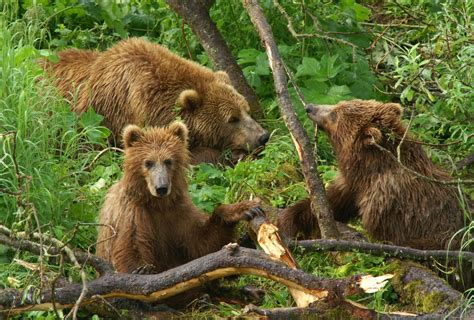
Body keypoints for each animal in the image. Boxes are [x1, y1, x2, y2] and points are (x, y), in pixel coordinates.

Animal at [94, 121, 262, 274]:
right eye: (148, 162)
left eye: (168, 161)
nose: (161, 188)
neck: (157, 203)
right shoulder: (132, 212)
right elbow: (129, 246)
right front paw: (143, 269)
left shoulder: (177, 212)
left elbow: (203, 243)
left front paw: (244, 209)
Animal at [280, 100, 468, 250]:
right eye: (339, 104)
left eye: (334, 115)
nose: (310, 107)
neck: (369, 171)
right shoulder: (352, 186)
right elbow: (327, 204)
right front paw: (290, 221)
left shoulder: (389, 205)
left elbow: (388, 236)